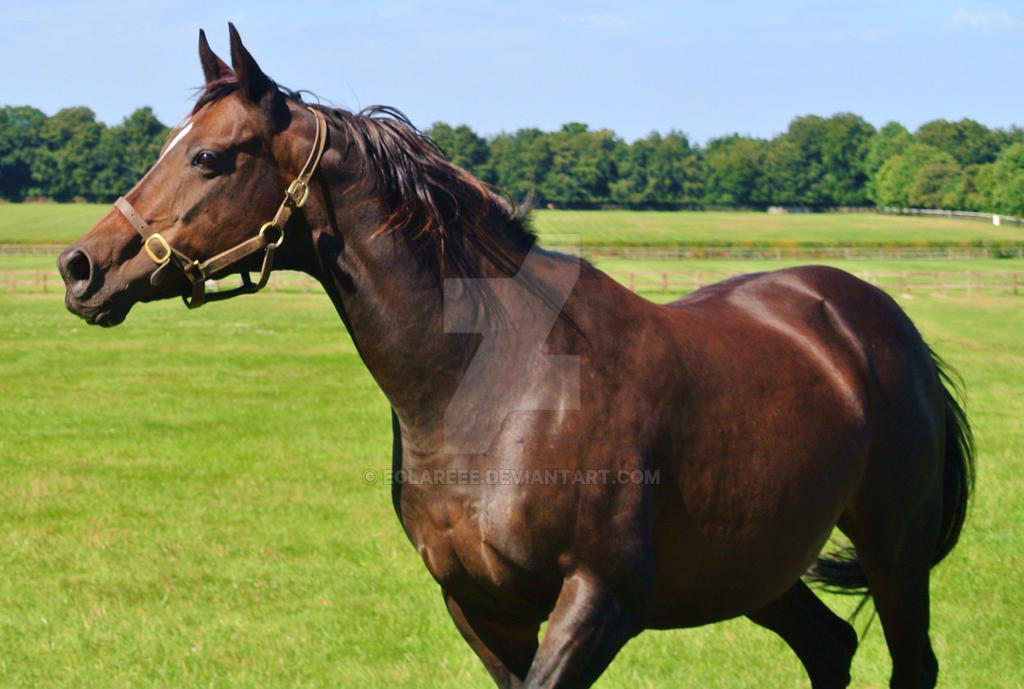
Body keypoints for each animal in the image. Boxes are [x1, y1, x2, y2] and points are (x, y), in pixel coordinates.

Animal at [59, 24, 970, 683]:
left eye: (209, 155)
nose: (81, 267)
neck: (496, 386)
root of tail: (875, 319)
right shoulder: (482, 608)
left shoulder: (596, 603)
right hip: (760, 568)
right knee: (830, 648)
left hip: (894, 552)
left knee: (910, 661)